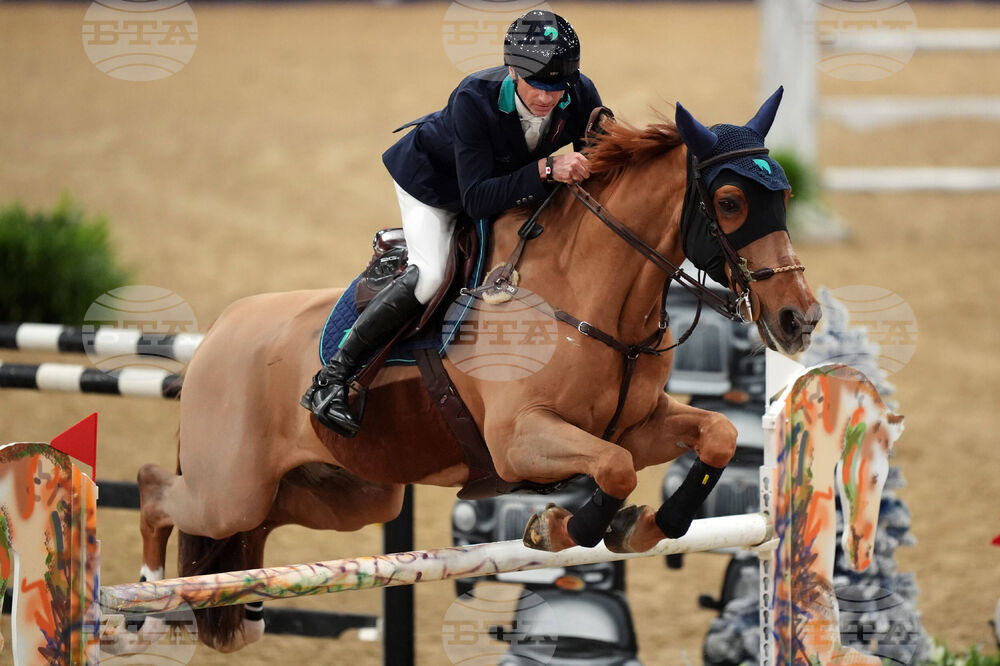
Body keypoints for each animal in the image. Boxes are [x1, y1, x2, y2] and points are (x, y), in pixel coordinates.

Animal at [127, 88, 821, 652]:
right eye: (729, 201)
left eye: (785, 196)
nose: (799, 320)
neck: (589, 298)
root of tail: (219, 334)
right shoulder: (519, 441)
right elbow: (614, 471)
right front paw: (559, 526)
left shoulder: (637, 424)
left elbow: (715, 436)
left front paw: (646, 526)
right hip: (230, 490)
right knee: (157, 490)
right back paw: (144, 610)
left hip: (345, 495)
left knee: (250, 529)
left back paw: (239, 608)